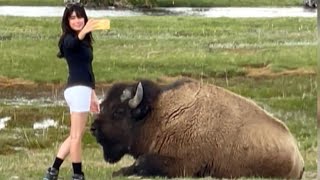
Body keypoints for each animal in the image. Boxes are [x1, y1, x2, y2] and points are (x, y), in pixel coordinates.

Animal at [90, 78, 304, 179]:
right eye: (103, 106)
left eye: (118, 111)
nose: (93, 129)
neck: (160, 115)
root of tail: (297, 156)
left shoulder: (184, 164)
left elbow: (142, 162)